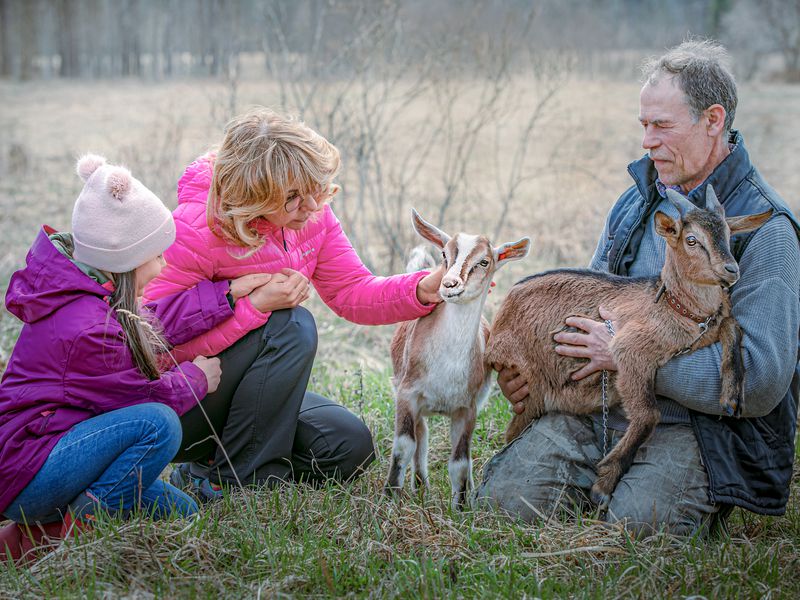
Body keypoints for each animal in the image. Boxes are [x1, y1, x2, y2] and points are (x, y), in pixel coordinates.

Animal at [386, 209, 532, 508]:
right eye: (444, 253)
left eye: (484, 261)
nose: (449, 284)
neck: (446, 364)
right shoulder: (407, 396)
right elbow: (404, 447)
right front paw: (390, 499)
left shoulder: (466, 409)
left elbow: (460, 463)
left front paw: (461, 508)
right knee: (421, 439)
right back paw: (421, 489)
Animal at [484, 185, 772, 508]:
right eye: (692, 239)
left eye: (727, 233)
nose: (731, 270)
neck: (677, 309)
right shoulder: (628, 351)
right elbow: (648, 415)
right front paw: (604, 484)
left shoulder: (710, 327)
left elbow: (733, 327)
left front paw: (732, 398)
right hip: (531, 385)